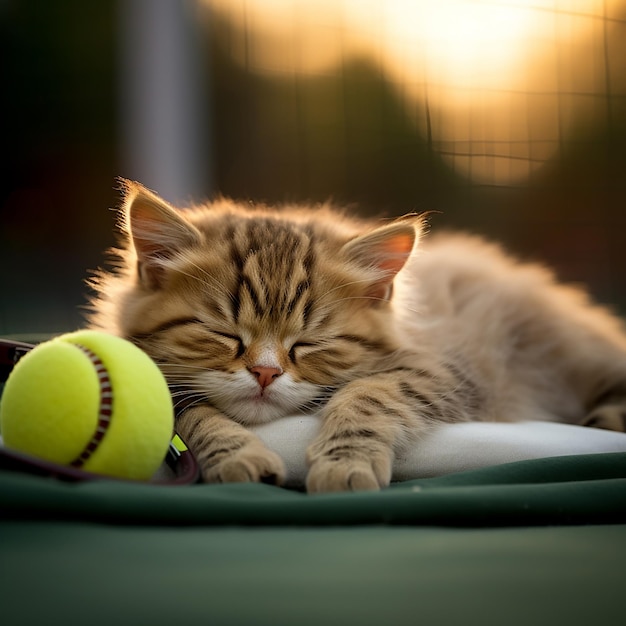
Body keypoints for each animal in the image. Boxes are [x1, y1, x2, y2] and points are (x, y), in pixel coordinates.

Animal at [86, 178, 624, 490]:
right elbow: (190, 413)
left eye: (309, 344)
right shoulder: (151, 372)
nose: (264, 373)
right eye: (225, 334)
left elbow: (370, 394)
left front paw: (345, 462)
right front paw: (238, 453)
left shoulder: (445, 368)